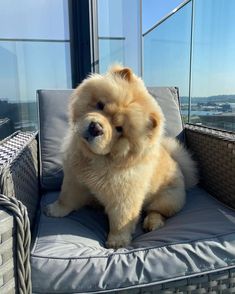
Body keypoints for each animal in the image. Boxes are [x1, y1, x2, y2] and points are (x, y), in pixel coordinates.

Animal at [44, 65, 198, 248]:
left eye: (119, 129)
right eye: (100, 105)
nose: (96, 128)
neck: (97, 159)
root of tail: (180, 167)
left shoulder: (124, 196)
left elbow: (121, 220)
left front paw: (117, 242)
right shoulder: (74, 179)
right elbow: (66, 197)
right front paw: (55, 210)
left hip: (168, 199)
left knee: (157, 211)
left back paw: (152, 223)